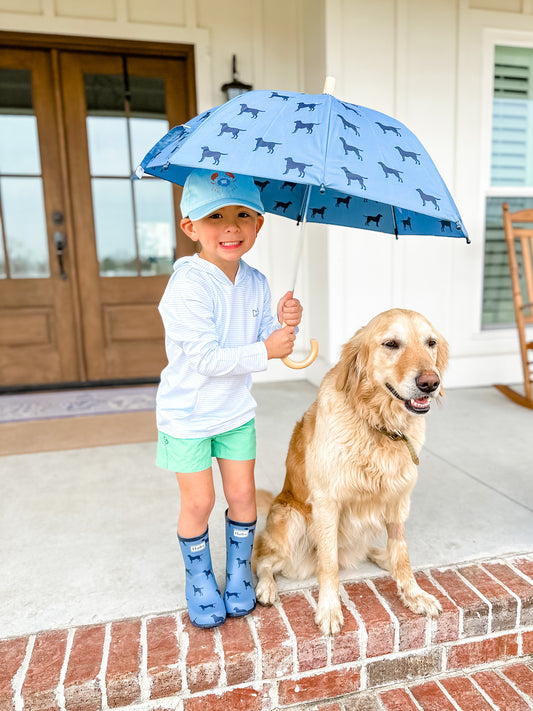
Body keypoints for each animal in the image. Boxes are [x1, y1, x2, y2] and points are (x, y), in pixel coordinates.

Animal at [254, 308, 448, 636]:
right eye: (391, 344)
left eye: (431, 342)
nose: (430, 383)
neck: (379, 425)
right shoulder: (327, 503)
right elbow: (328, 563)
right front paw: (329, 608)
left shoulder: (398, 499)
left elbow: (402, 553)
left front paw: (413, 593)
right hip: (291, 521)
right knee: (262, 559)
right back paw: (266, 587)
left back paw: (382, 558)